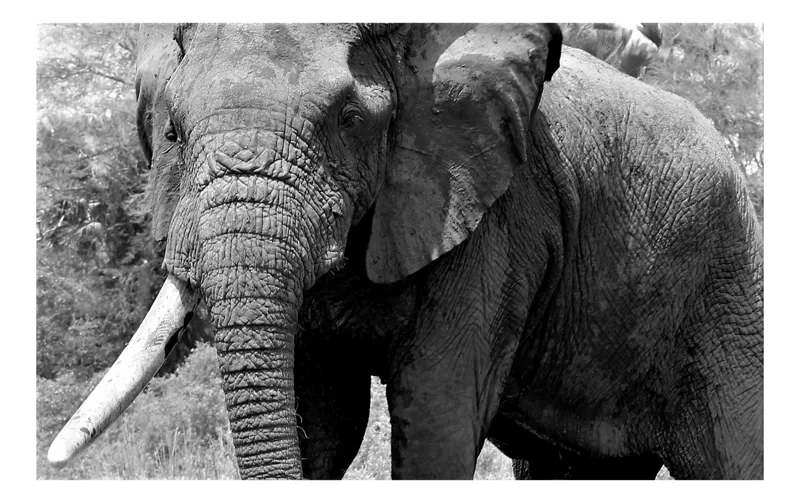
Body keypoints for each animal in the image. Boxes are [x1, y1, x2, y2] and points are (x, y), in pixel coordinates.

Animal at [48, 23, 763, 480]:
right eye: (172, 132)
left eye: (349, 122)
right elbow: (323, 423)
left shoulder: (496, 213)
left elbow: (435, 417)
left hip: (726, 287)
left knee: (733, 456)